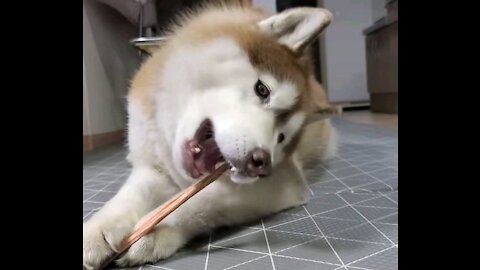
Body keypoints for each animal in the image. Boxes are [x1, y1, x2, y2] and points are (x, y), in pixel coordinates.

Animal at [84, 3, 342, 268]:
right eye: (262, 90)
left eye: (281, 137)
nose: (262, 163)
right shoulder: (152, 169)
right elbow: (126, 198)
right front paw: (97, 229)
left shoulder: (284, 182)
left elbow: (199, 201)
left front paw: (153, 230)